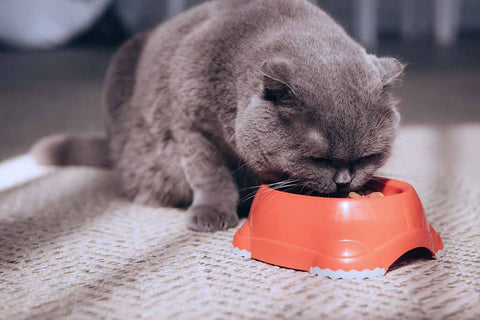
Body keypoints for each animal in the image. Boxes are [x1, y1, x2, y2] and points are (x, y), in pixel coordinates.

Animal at [31, 0, 404, 231]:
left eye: (367, 157)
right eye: (317, 159)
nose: (343, 182)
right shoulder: (192, 127)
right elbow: (211, 175)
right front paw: (212, 214)